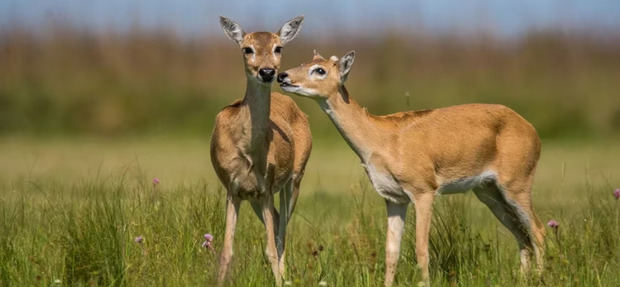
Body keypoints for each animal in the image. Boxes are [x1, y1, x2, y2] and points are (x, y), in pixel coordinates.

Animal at [211, 16, 312, 286]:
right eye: (247, 49)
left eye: (279, 48)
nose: (267, 72)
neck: (247, 150)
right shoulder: (233, 188)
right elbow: (226, 251)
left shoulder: (266, 186)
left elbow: (270, 249)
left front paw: (278, 280)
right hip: (255, 197)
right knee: (277, 222)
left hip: (294, 178)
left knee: (282, 232)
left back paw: (286, 277)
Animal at [278, 50, 544, 286]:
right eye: (304, 62)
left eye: (319, 70)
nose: (282, 76)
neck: (382, 140)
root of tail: (532, 130)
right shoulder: (394, 198)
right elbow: (391, 252)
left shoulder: (424, 190)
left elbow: (421, 250)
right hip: (488, 191)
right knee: (523, 236)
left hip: (517, 184)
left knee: (538, 231)